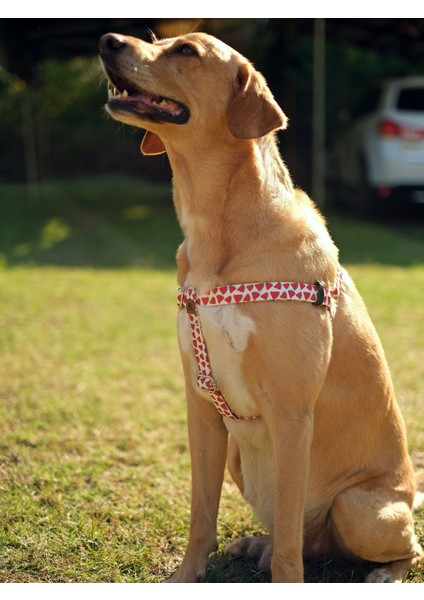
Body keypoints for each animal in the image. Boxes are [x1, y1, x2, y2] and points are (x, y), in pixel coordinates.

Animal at [100, 31, 424, 580]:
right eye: (158, 38)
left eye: (186, 51)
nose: (107, 40)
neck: (217, 231)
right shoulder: (201, 408)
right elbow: (202, 514)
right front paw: (188, 575)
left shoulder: (291, 414)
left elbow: (291, 540)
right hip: (239, 458)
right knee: (307, 539)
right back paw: (257, 544)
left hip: (361, 509)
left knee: (390, 546)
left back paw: (383, 572)